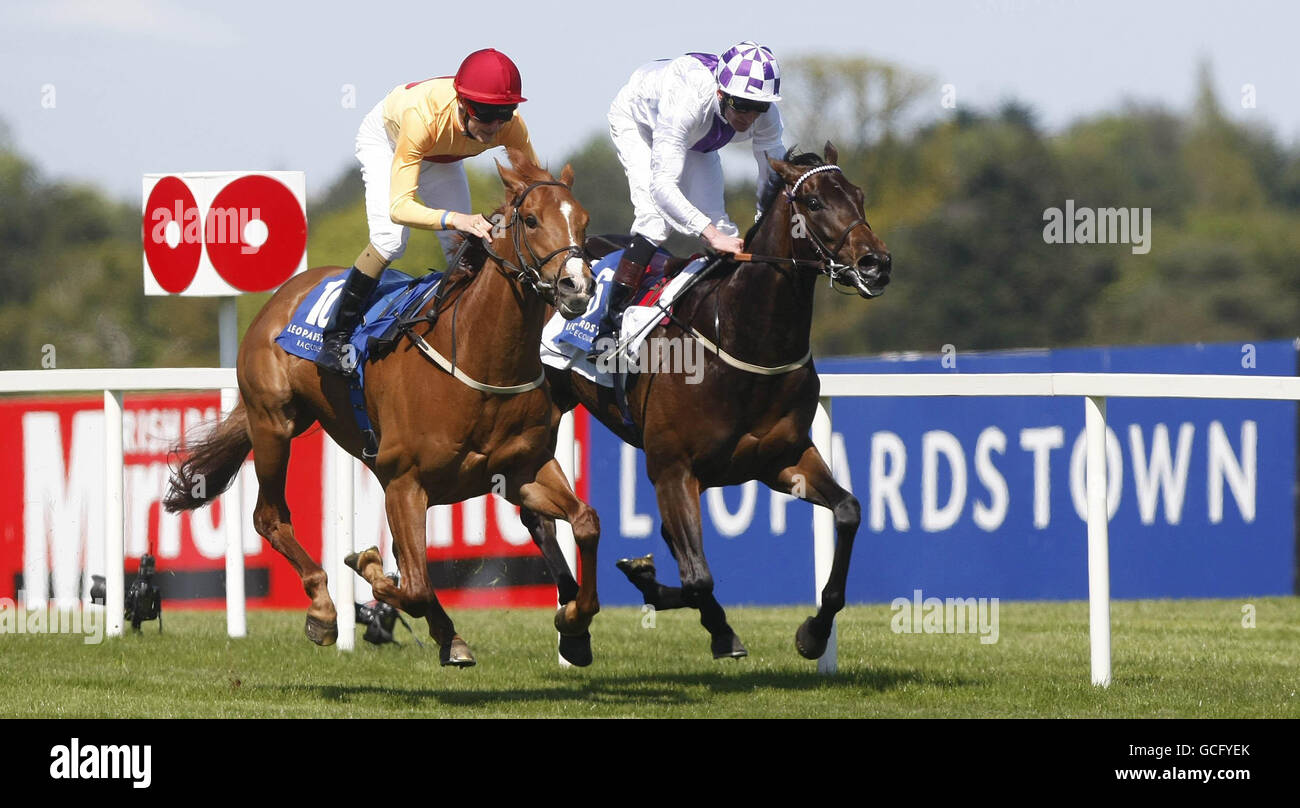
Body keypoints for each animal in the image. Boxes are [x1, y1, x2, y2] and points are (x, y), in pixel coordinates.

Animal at [163, 151, 603, 670]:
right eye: (532, 220)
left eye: (584, 221)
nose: (578, 286)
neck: (478, 359)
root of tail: (284, 294)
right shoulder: (404, 482)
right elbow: (410, 585)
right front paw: (367, 567)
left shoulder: (521, 472)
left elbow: (585, 522)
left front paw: (574, 621)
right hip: (273, 423)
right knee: (269, 517)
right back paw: (323, 608)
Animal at [522, 144, 889, 665]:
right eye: (815, 202)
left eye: (858, 195)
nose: (877, 263)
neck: (743, 338)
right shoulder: (672, 468)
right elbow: (697, 577)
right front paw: (700, 616)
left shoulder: (783, 459)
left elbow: (849, 511)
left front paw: (814, 632)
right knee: (535, 511)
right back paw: (574, 624)